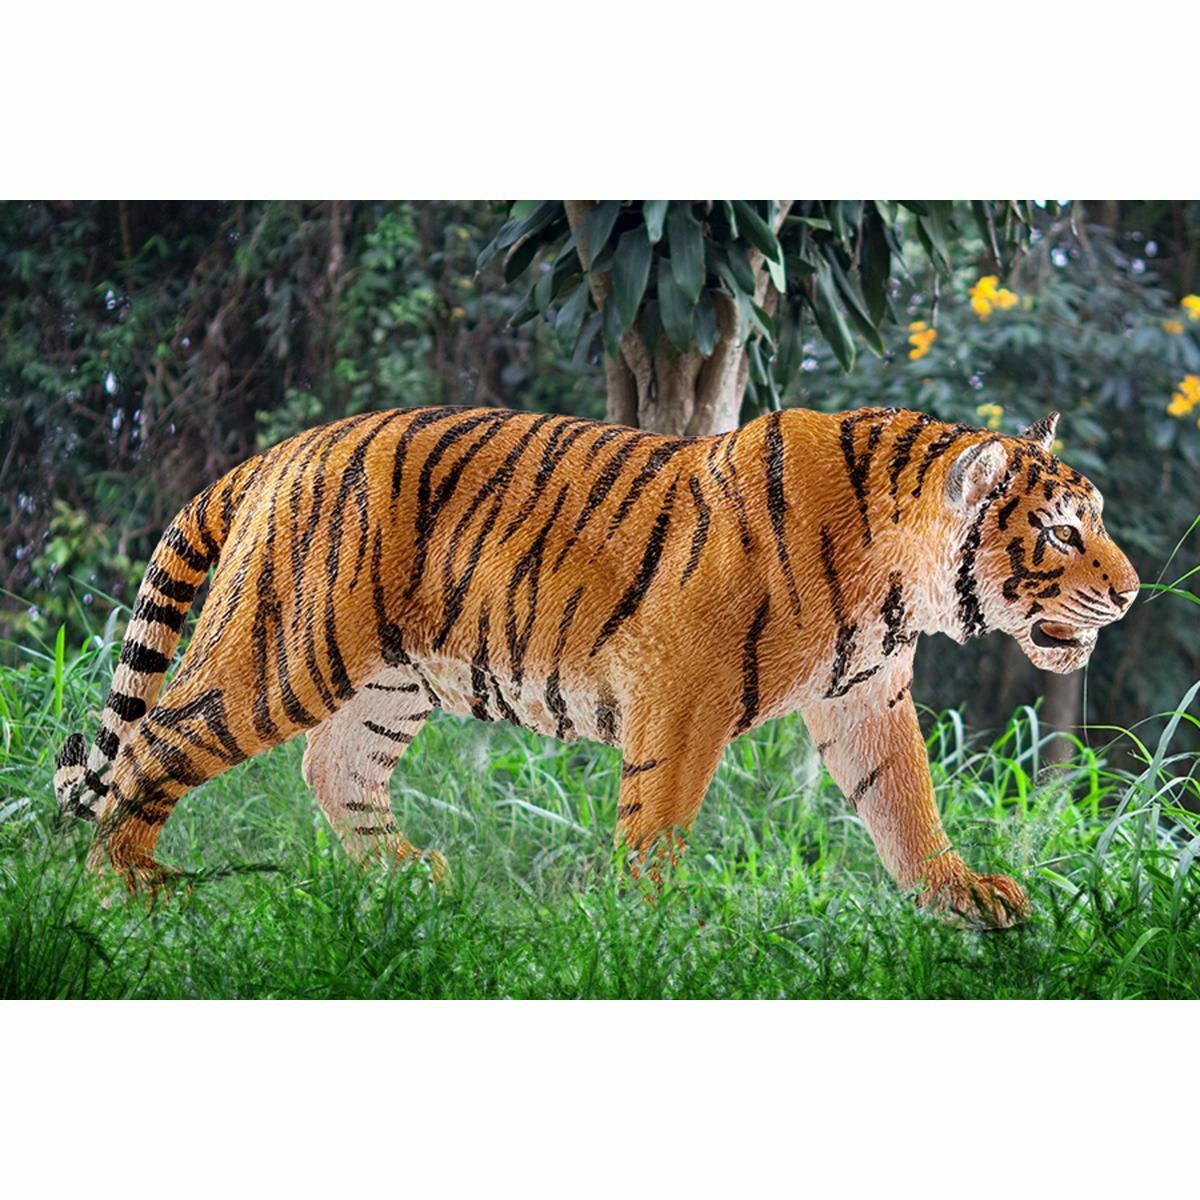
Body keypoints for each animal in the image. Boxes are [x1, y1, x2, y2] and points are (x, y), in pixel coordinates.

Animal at [53, 403, 1139, 927]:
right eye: (1059, 530)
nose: (1131, 593)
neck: (900, 580)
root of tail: (278, 452)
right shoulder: (682, 691)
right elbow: (657, 819)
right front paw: (651, 932)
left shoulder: (866, 697)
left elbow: (905, 803)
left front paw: (961, 899)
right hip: (286, 654)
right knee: (154, 742)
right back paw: (129, 891)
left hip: (390, 680)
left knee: (335, 766)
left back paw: (411, 883)